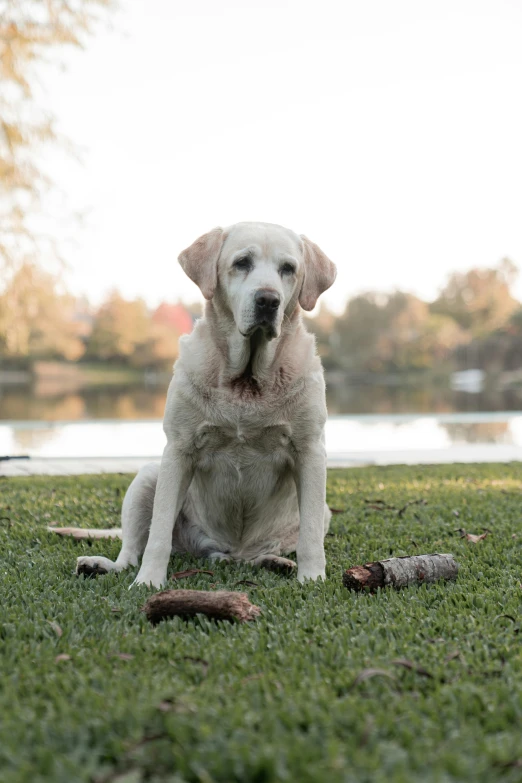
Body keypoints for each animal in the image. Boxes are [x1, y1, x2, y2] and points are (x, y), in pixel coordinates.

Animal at [57, 222, 336, 588]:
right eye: (242, 262)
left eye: (288, 268)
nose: (268, 300)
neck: (246, 381)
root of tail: (231, 552)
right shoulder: (179, 449)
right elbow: (158, 533)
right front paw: (149, 582)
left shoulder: (310, 452)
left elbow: (311, 536)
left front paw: (312, 578)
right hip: (148, 477)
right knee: (131, 550)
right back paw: (101, 565)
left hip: (320, 512)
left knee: (276, 546)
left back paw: (274, 562)